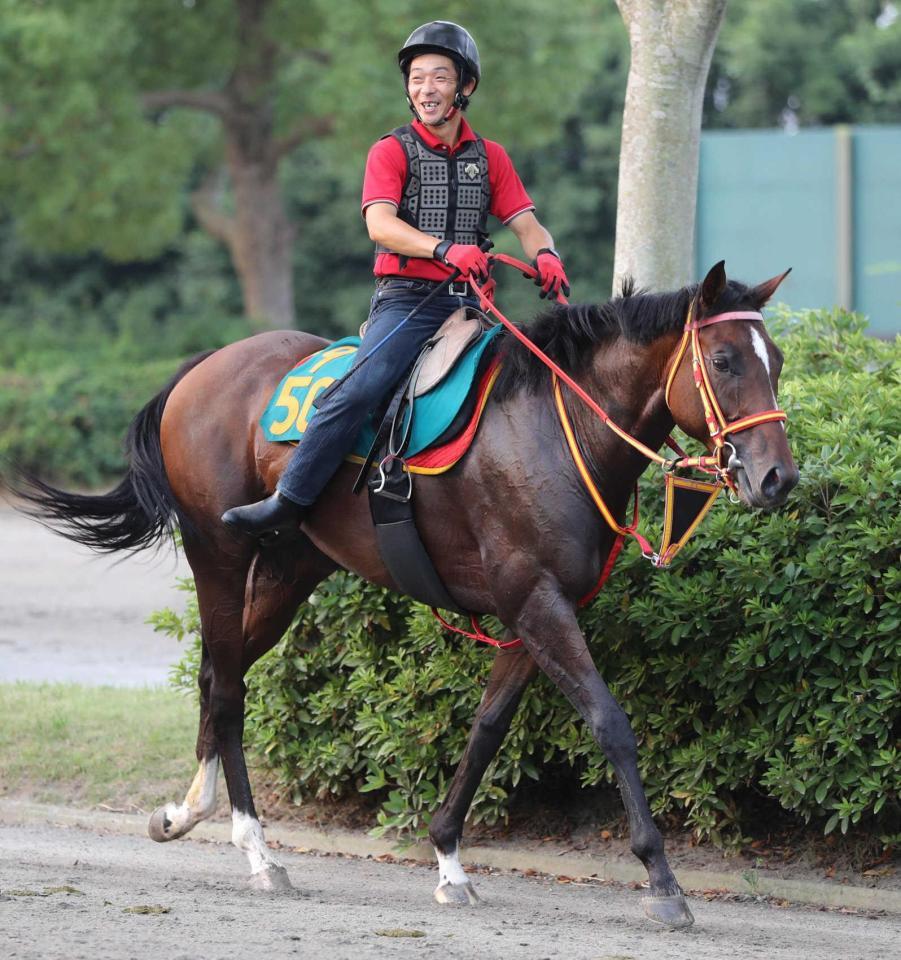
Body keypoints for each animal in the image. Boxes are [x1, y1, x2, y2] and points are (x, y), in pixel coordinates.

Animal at [17, 260, 800, 928]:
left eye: (780, 363)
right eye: (724, 361)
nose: (777, 479)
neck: (555, 428)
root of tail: (204, 368)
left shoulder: (533, 613)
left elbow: (487, 729)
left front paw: (449, 856)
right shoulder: (538, 602)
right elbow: (609, 721)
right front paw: (662, 879)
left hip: (291, 569)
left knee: (220, 673)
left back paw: (189, 814)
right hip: (219, 551)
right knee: (230, 684)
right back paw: (256, 848)